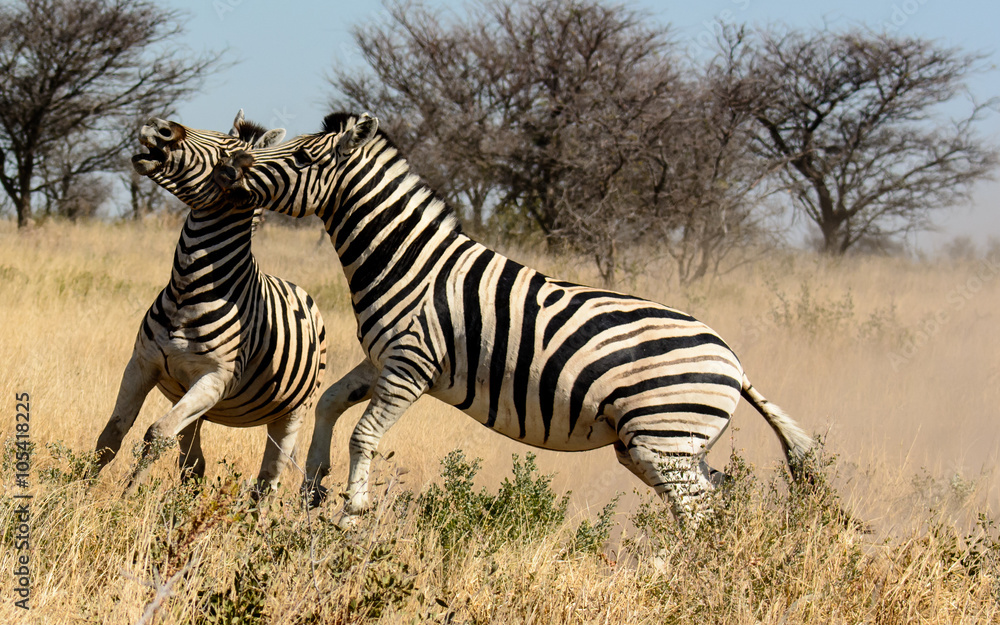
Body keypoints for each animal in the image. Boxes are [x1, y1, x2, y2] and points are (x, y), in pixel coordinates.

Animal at [93, 111, 328, 497]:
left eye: (226, 156)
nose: (158, 126)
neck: (187, 289)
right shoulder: (141, 363)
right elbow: (111, 433)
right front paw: (76, 489)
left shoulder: (216, 379)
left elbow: (156, 434)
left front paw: (124, 499)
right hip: (187, 397)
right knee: (194, 465)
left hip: (291, 414)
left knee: (269, 480)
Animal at [148, 111, 816, 527]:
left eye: (305, 155)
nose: (231, 172)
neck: (407, 260)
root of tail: (733, 360)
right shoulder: (383, 358)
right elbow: (331, 402)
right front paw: (314, 485)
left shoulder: (411, 366)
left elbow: (364, 434)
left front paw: (349, 515)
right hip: (661, 444)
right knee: (713, 501)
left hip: (662, 437)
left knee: (699, 512)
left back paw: (674, 579)